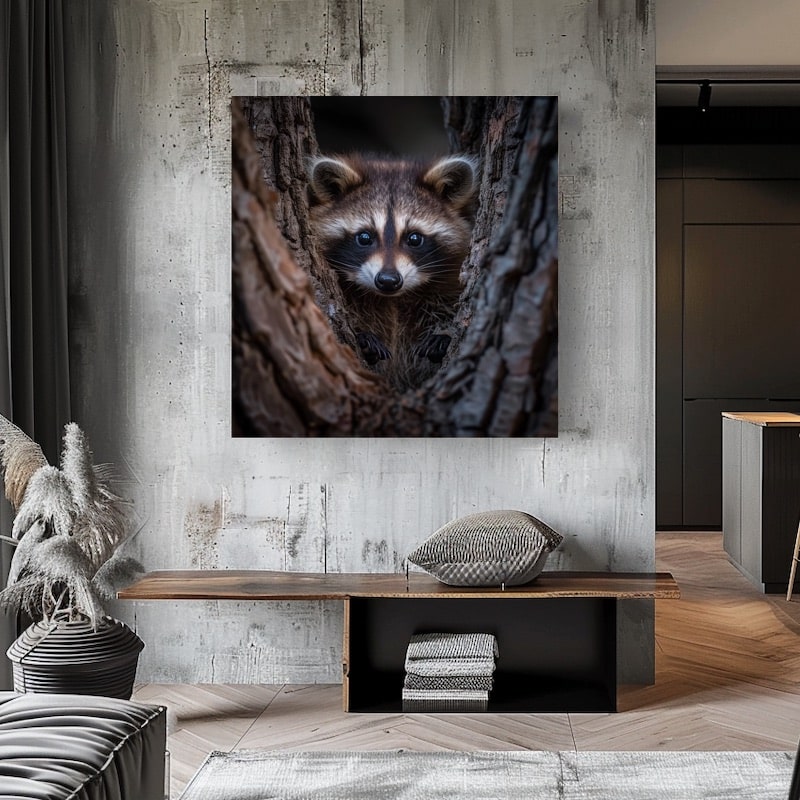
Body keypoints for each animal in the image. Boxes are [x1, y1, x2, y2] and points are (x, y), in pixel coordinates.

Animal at [308, 153, 478, 390]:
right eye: (364, 237)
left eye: (414, 238)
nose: (388, 280)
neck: (393, 300)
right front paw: (363, 337)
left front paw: (444, 333)